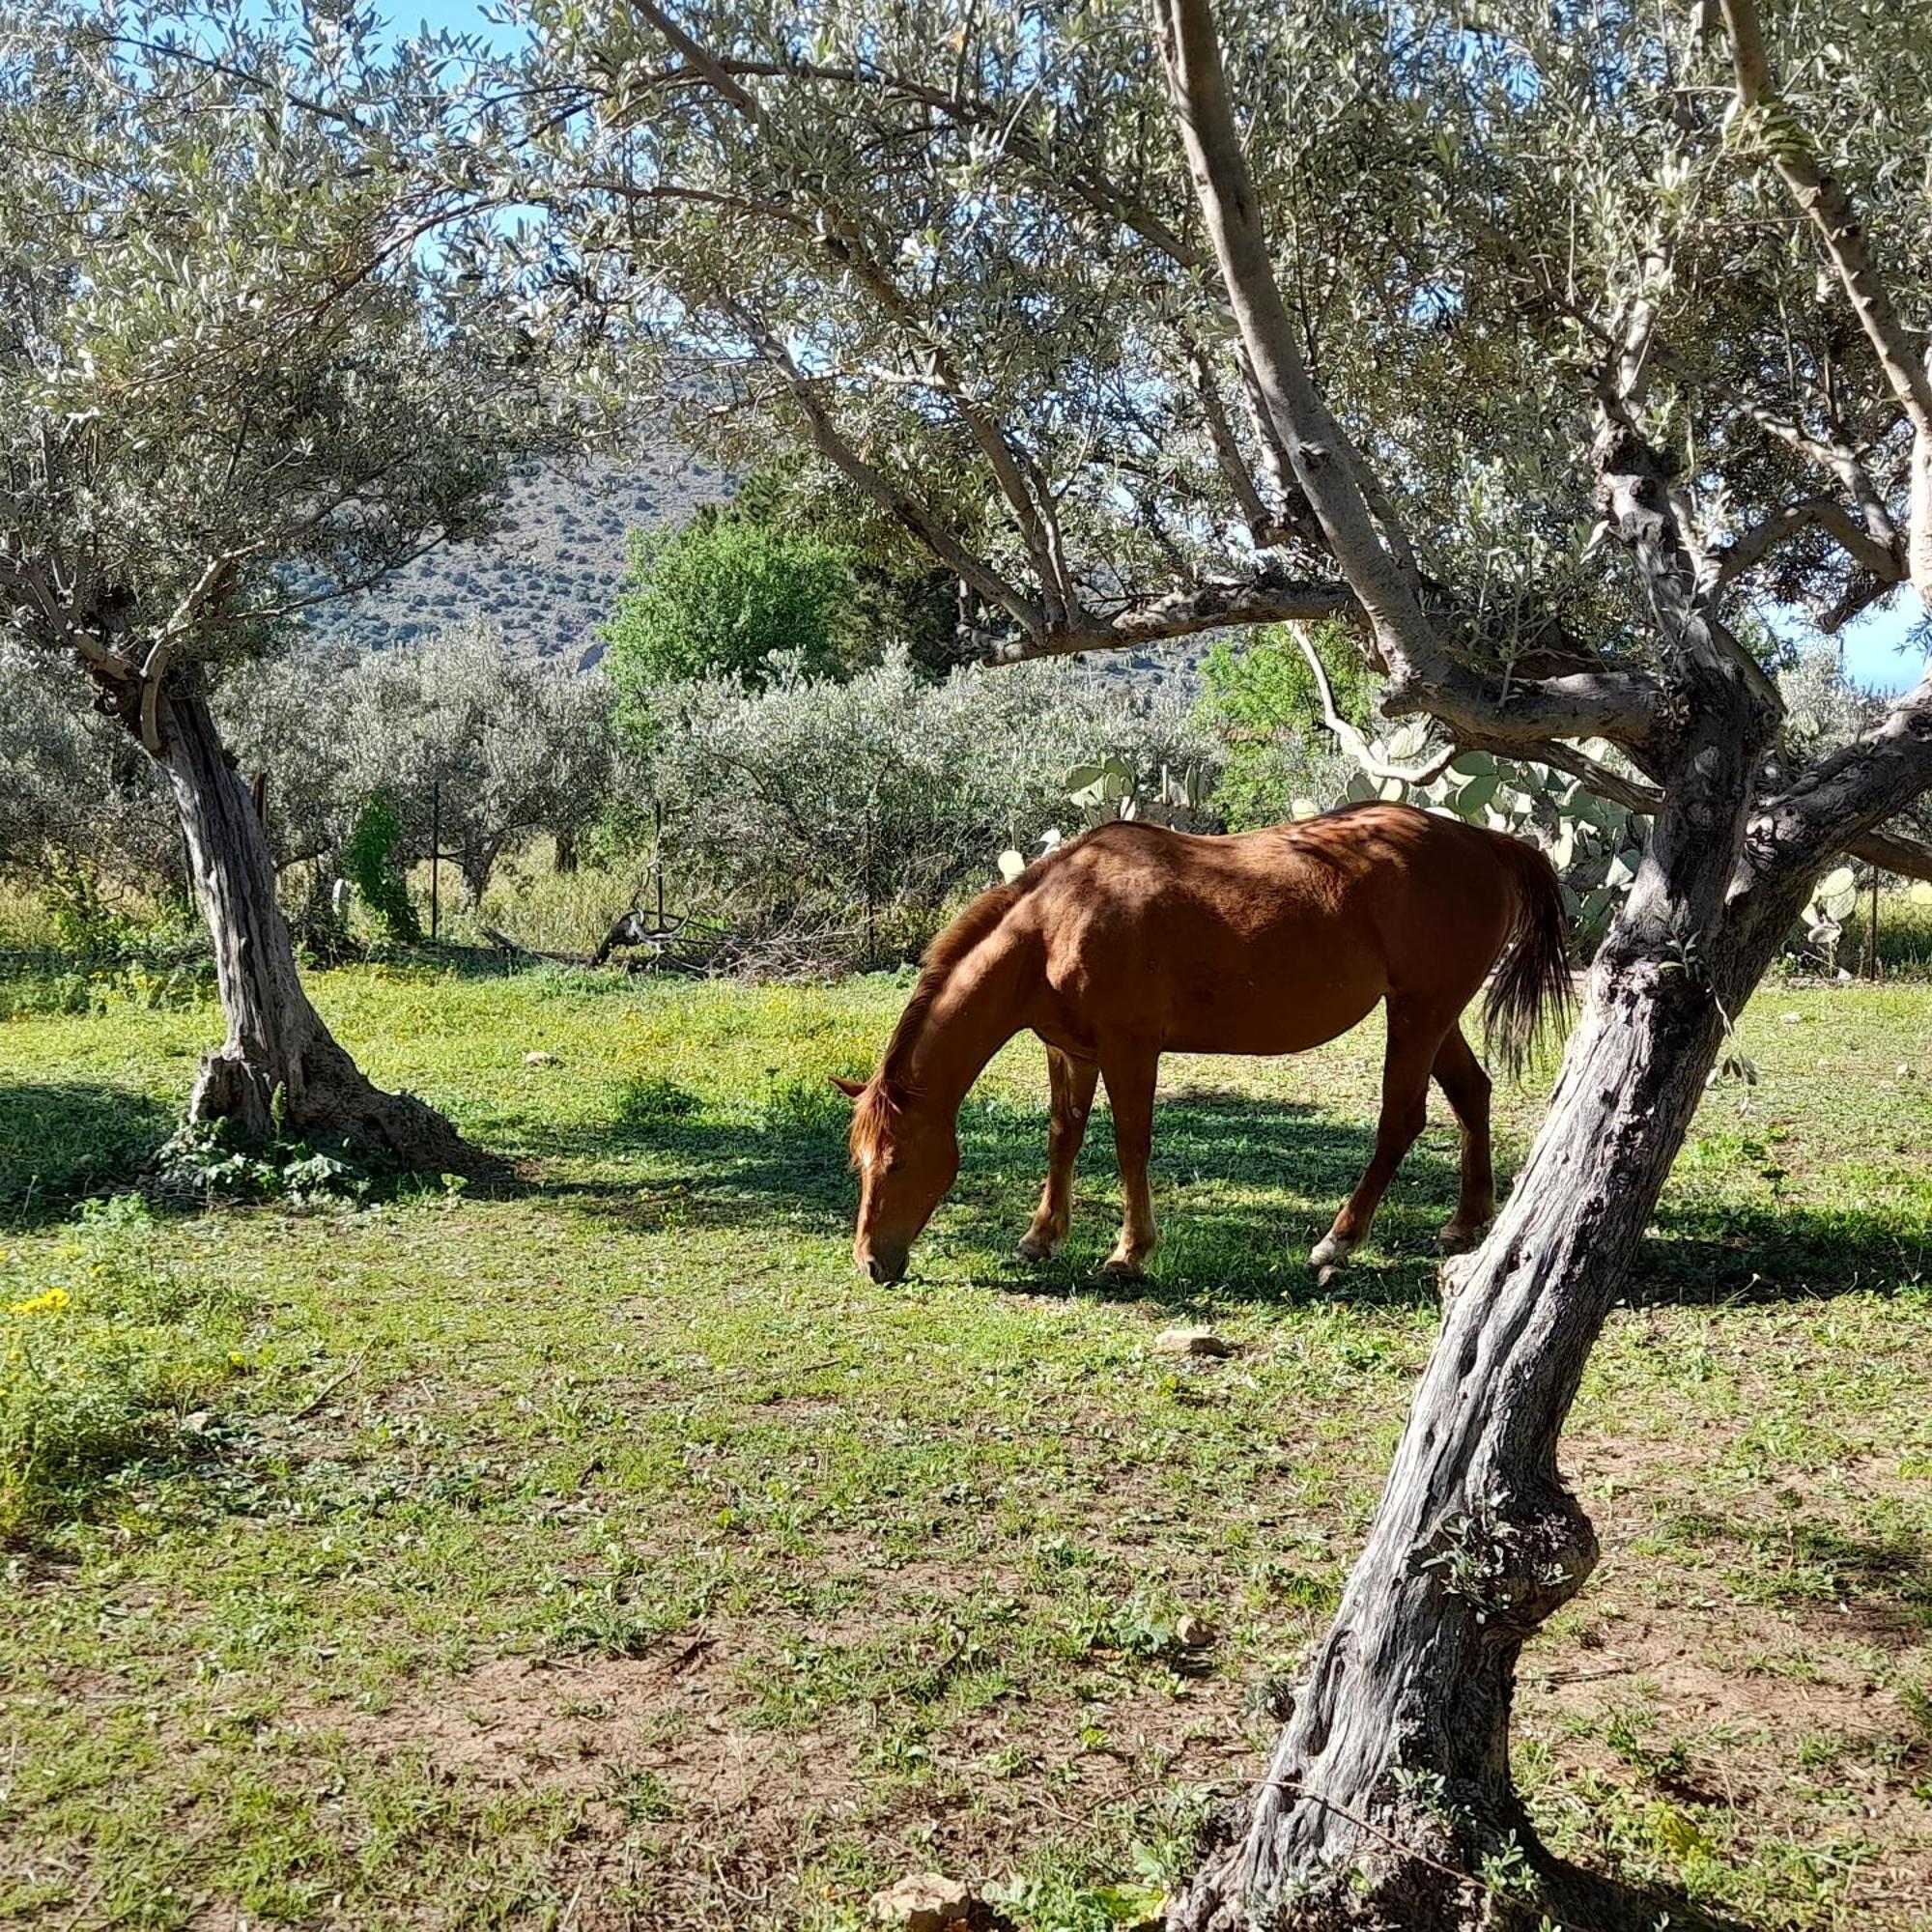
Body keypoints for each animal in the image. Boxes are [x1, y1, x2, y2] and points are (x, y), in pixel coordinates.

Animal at [831, 800, 1569, 1283]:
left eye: (896, 1161)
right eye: (858, 1162)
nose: (871, 1262)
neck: (1055, 923)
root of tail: (1482, 841)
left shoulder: (1130, 1048)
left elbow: (1130, 1142)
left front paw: (1128, 1252)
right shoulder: (1070, 1050)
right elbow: (1064, 1136)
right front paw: (1042, 1236)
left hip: (1420, 1012)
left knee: (1401, 1119)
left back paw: (1338, 1241)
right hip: (1431, 1013)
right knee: (1471, 1093)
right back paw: (1465, 1222)